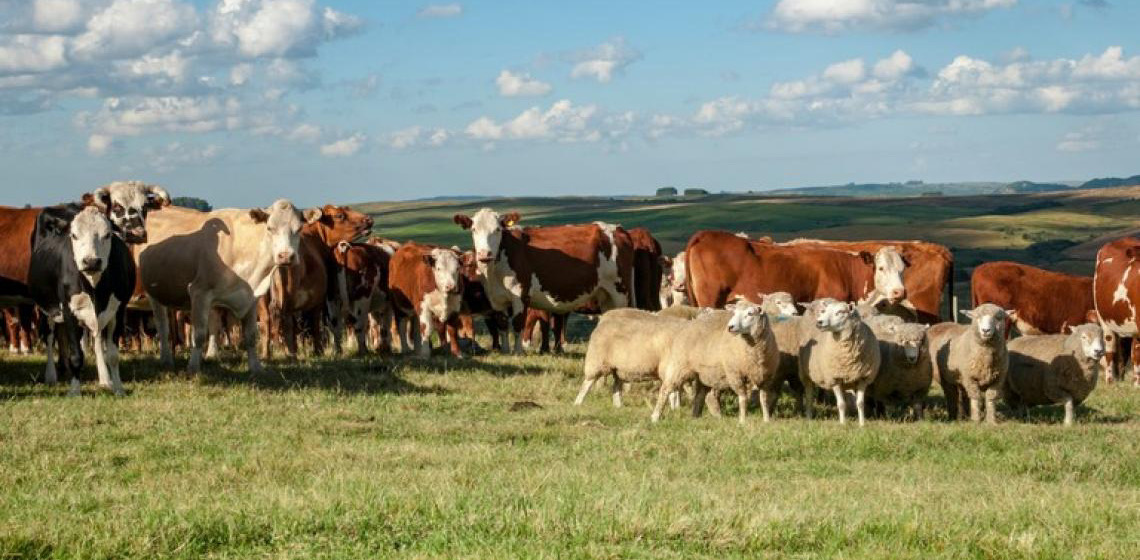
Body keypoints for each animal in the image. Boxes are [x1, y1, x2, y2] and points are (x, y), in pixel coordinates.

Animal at [135, 199, 321, 374]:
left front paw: (256, 368)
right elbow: (199, 334)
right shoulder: (200, 292)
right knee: (162, 327)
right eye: (269, 228)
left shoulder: (252, 297)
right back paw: (166, 360)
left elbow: (251, 336)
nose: (286, 256)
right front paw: (193, 368)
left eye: (298, 229)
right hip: (154, 293)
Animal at [652, 301, 784, 421]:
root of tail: (692, 322)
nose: (730, 327)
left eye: (750, 313)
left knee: (699, 395)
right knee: (665, 390)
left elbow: (764, 399)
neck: (755, 351)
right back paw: (655, 417)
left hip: (703, 373)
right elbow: (743, 398)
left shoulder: (766, 378)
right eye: (734, 313)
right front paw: (742, 421)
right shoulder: (735, 375)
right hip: (679, 366)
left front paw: (766, 420)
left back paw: (695, 417)